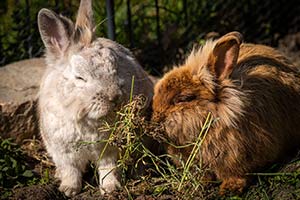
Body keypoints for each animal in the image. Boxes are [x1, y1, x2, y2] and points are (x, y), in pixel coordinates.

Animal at [37, 0, 154, 197]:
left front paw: (110, 189)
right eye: (79, 77)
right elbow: (71, 171)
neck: (87, 118)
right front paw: (68, 190)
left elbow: (108, 169)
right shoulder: (62, 153)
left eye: (114, 66)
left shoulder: (109, 151)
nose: (115, 97)